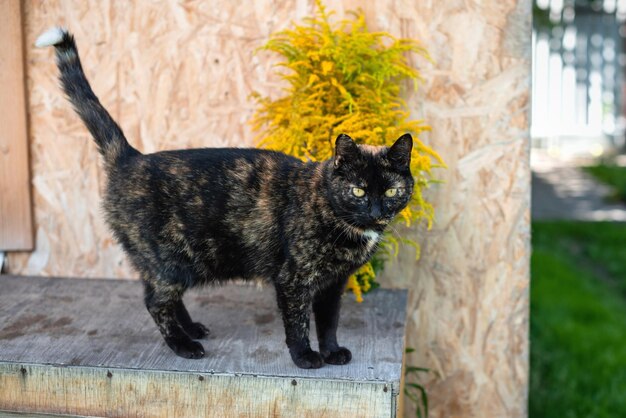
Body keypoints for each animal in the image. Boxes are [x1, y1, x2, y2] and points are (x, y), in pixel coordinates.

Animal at [35, 27, 414, 370]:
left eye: (391, 191)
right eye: (359, 190)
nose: (376, 211)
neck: (332, 212)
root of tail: (130, 158)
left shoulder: (334, 284)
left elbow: (329, 321)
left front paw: (332, 351)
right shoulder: (293, 279)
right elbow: (297, 322)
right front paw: (305, 356)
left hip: (173, 262)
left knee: (161, 295)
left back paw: (191, 329)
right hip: (171, 260)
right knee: (155, 301)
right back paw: (184, 345)